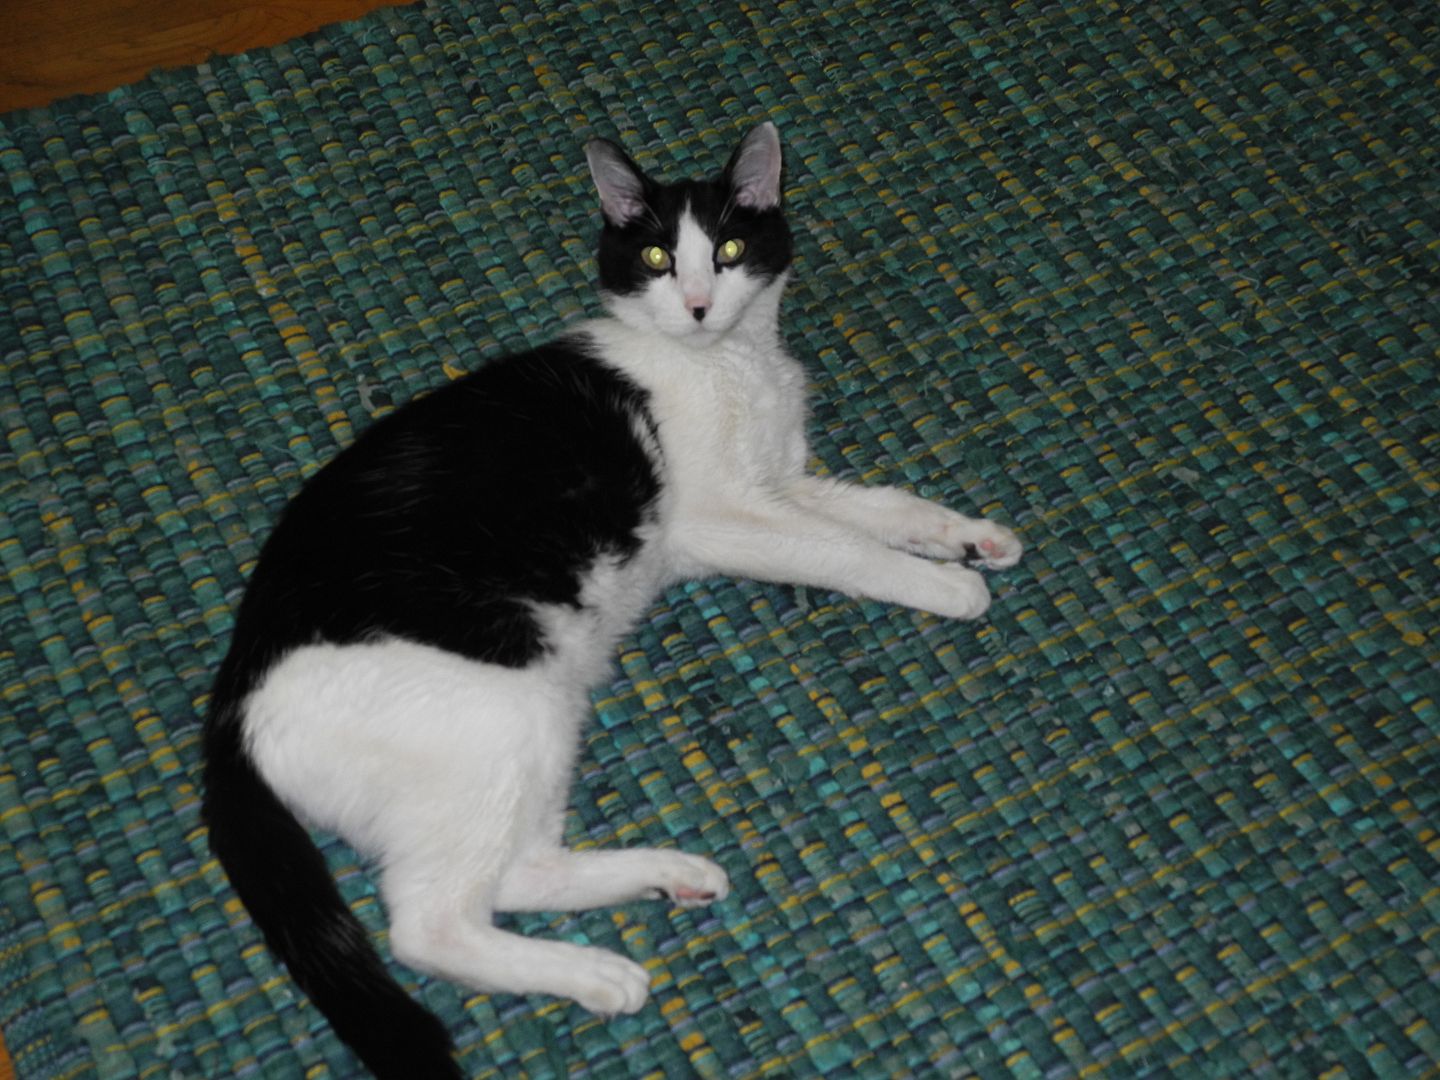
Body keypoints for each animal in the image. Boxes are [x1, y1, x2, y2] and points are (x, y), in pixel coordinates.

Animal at [200, 122, 1025, 1077]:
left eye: (729, 251)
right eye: (660, 258)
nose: (700, 304)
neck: (731, 365)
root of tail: (230, 707)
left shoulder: (780, 487)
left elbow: (883, 508)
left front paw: (970, 536)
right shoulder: (720, 520)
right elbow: (845, 552)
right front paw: (948, 583)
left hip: (542, 722)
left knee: (517, 872)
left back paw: (671, 876)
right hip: (504, 710)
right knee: (429, 924)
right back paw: (598, 975)